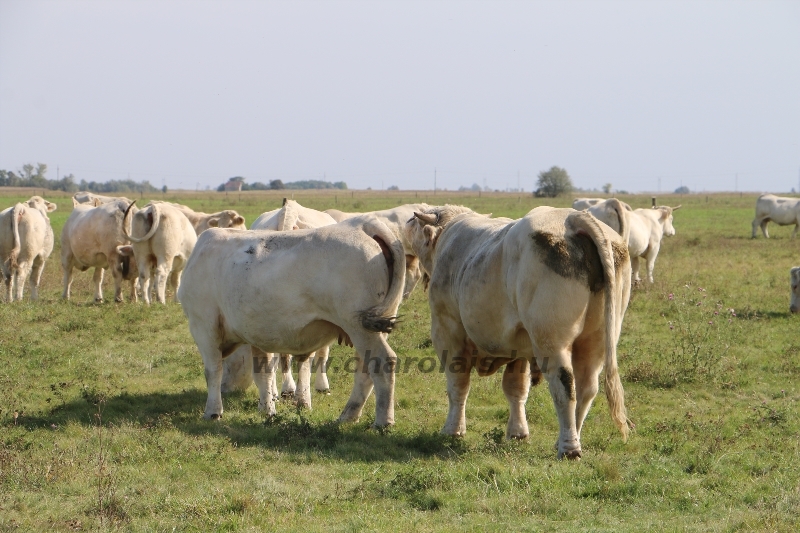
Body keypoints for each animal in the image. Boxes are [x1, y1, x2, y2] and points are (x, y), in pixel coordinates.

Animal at [180, 216, 406, 424]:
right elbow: (263, 373)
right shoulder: (256, 332)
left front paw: (213, 411)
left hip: (359, 327)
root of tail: (362, 223)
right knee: (365, 369)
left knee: (382, 362)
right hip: (373, 326)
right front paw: (267, 409)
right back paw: (348, 415)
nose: (226, 389)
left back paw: (382, 421)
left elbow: (213, 370)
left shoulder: (203, 325)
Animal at [406, 206, 632, 460]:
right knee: (587, 388)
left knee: (565, 386)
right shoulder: (520, 348)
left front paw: (453, 430)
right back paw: (567, 438)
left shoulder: (447, 331)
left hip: (551, 341)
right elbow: (516, 389)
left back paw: (569, 448)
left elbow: (458, 384)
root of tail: (572, 217)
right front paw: (517, 433)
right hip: (596, 340)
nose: (406, 221)